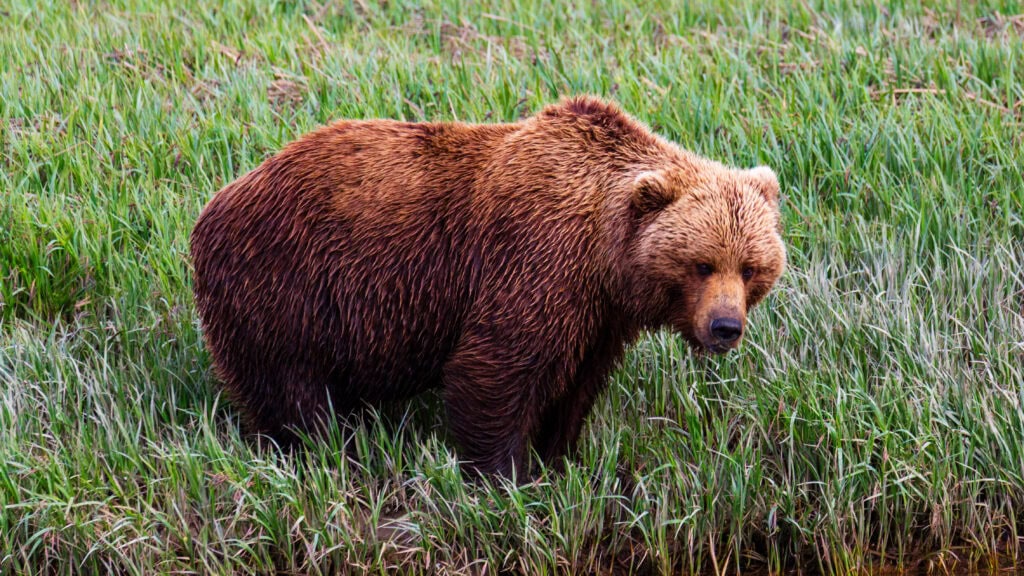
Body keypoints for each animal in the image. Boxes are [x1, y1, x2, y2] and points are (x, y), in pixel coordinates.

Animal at [189, 96, 786, 477]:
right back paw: (324, 451)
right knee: (291, 391)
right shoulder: (536, 259)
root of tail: (216, 203)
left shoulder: (599, 316)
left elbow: (576, 385)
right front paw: (506, 475)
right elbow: (497, 368)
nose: (725, 327)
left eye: (750, 267)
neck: (605, 254)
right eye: (702, 264)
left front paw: (559, 457)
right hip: (285, 286)